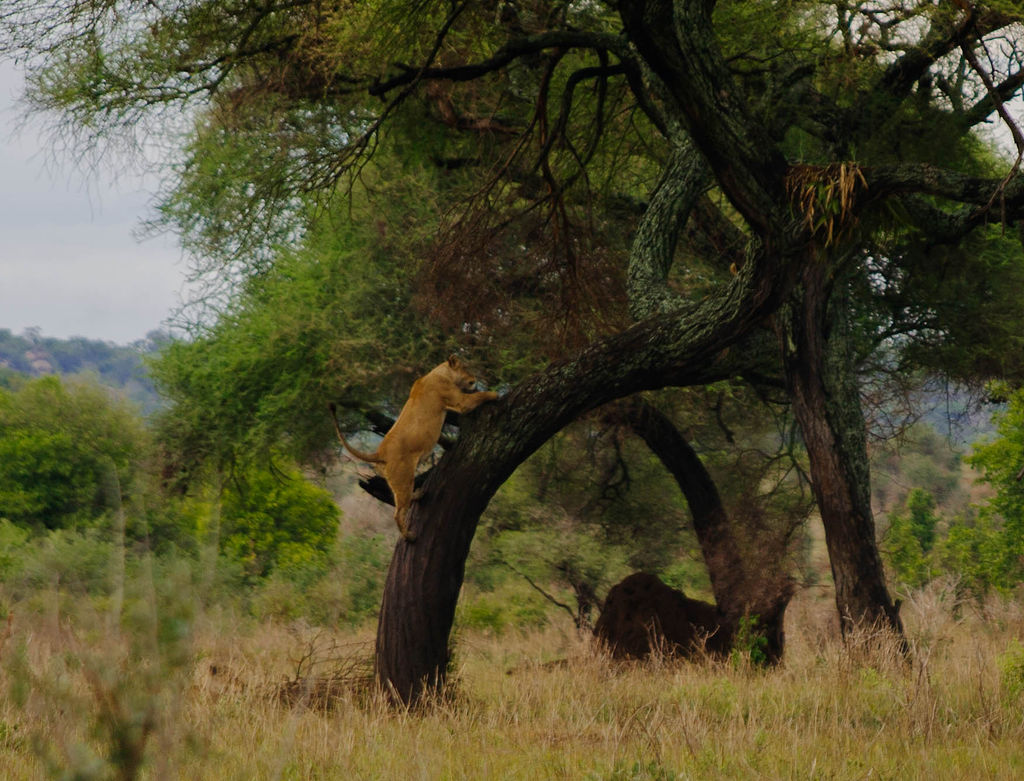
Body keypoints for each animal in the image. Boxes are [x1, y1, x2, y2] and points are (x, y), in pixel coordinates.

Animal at [329, 355, 499, 541]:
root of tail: (380, 452)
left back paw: (418, 494)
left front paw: (449, 443)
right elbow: (479, 396)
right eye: (466, 368)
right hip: (403, 479)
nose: (474, 379)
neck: (440, 373)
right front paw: (496, 394)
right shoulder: (459, 401)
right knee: (398, 513)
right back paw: (409, 535)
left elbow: (442, 437)